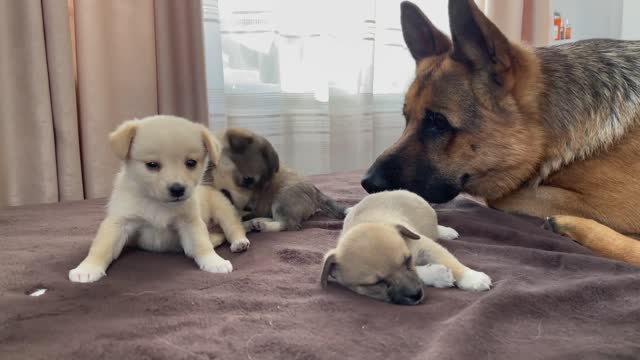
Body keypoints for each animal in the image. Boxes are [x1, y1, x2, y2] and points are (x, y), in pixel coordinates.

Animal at [69, 116, 234, 284]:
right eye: (152, 165)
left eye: (191, 163)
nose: (177, 189)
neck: (156, 202)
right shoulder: (118, 222)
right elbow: (101, 247)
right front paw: (88, 268)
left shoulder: (190, 221)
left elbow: (201, 243)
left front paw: (213, 260)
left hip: (224, 210)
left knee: (232, 228)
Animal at [204, 128, 344, 232]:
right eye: (247, 180)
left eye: (265, 186)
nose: (251, 208)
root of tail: (316, 192)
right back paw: (256, 222)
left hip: (281, 200)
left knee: (288, 224)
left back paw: (261, 225)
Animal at [318, 190, 490, 306]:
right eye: (376, 283)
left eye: (407, 260)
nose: (416, 295)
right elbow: (422, 271)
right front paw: (437, 274)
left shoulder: (426, 246)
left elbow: (451, 261)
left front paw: (472, 278)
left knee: (436, 229)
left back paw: (446, 231)